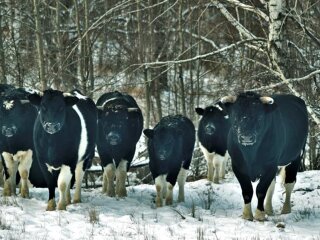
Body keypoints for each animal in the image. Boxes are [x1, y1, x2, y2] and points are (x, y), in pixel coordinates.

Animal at [220, 92, 308, 221]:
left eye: (260, 117)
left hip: (296, 157)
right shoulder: (237, 166)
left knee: (289, 183)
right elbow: (247, 191)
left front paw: (259, 214)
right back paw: (269, 210)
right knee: (272, 185)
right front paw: (247, 215)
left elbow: (261, 190)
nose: (246, 137)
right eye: (235, 116)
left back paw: (286, 210)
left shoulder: (270, 165)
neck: (250, 154)